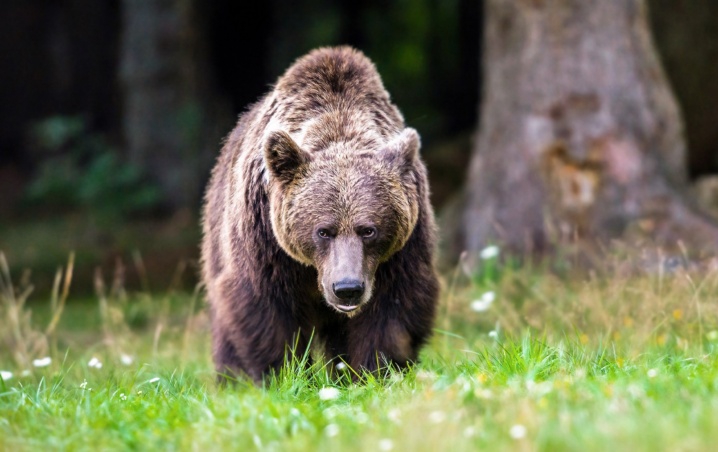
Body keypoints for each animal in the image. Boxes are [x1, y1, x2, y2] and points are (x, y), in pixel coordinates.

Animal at [200, 46, 439, 382]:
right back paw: (233, 378)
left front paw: (375, 372)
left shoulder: (402, 247)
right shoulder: (264, 239)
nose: (347, 289)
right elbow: (266, 308)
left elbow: (392, 310)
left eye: (369, 229)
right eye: (323, 231)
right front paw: (284, 375)